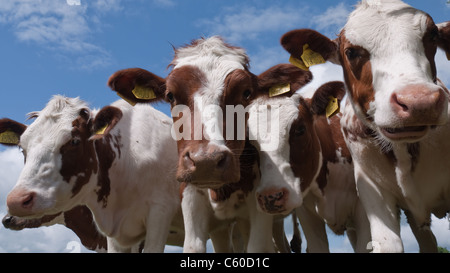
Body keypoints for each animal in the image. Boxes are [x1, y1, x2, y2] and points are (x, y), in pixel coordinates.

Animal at [107, 35, 312, 251]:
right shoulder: (190, 196)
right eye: (170, 95)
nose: (206, 161)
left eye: (246, 92)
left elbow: (257, 246)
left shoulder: (260, 203)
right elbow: (193, 246)